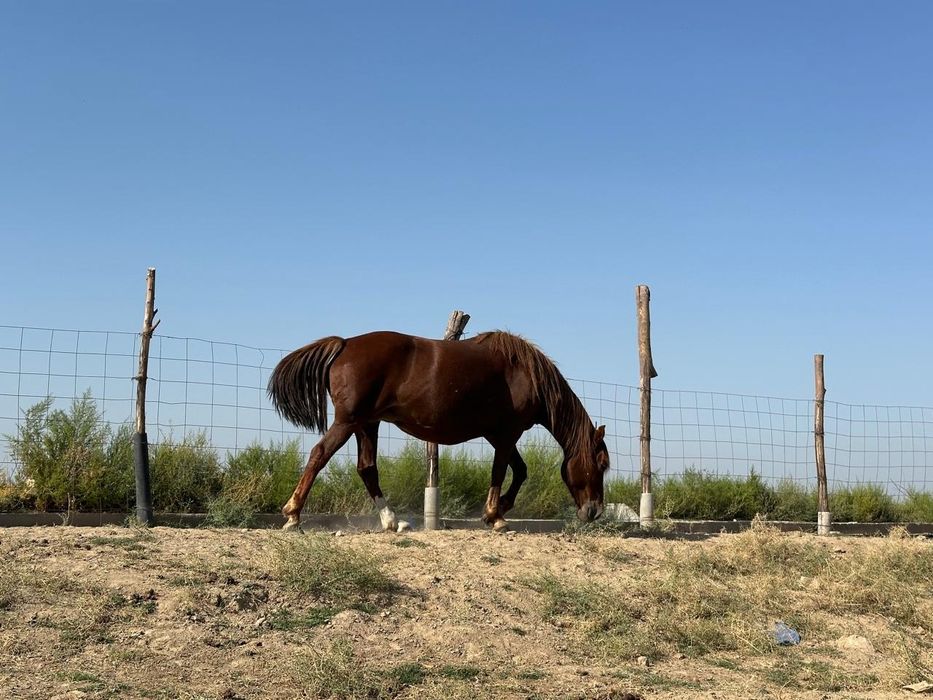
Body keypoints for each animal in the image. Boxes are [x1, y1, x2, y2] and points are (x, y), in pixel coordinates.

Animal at [267, 330, 609, 531]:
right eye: (602, 464)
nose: (594, 512)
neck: (526, 375)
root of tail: (346, 344)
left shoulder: (497, 435)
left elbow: (519, 470)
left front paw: (498, 510)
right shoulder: (506, 433)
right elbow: (501, 472)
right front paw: (494, 515)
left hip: (366, 424)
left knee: (367, 468)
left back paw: (390, 520)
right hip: (348, 421)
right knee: (319, 454)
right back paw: (293, 514)